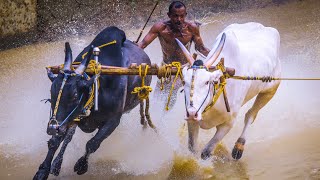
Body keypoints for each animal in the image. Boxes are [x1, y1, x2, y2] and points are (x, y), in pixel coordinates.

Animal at [34, 26, 152, 179]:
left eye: (75, 95)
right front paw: (43, 170)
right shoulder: (68, 119)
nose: (53, 127)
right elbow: (55, 142)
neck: (97, 90)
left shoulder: (114, 120)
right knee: (68, 138)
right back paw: (57, 164)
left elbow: (92, 143)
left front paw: (81, 165)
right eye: (51, 92)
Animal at [176, 22, 282, 159]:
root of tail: (263, 27)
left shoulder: (228, 124)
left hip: (270, 91)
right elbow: (192, 149)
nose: (192, 113)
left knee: (250, 115)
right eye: (184, 82)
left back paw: (239, 147)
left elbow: (206, 152)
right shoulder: (192, 122)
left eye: (207, 82)